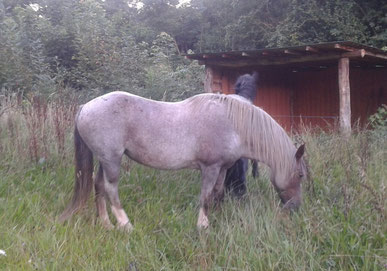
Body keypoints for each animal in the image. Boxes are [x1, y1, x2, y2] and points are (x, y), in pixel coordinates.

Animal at [60, 86, 308, 231]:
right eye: (300, 175)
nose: (295, 207)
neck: (233, 124)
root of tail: (85, 107)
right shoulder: (210, 168)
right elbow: (206, 196)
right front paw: (203, 226)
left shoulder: (222, 168)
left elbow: (217, 194)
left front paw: (216, 219)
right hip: (112, 160)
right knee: (111, 189)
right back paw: (125, 224)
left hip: (105, 159)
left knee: (98, 185)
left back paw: (106, 224)